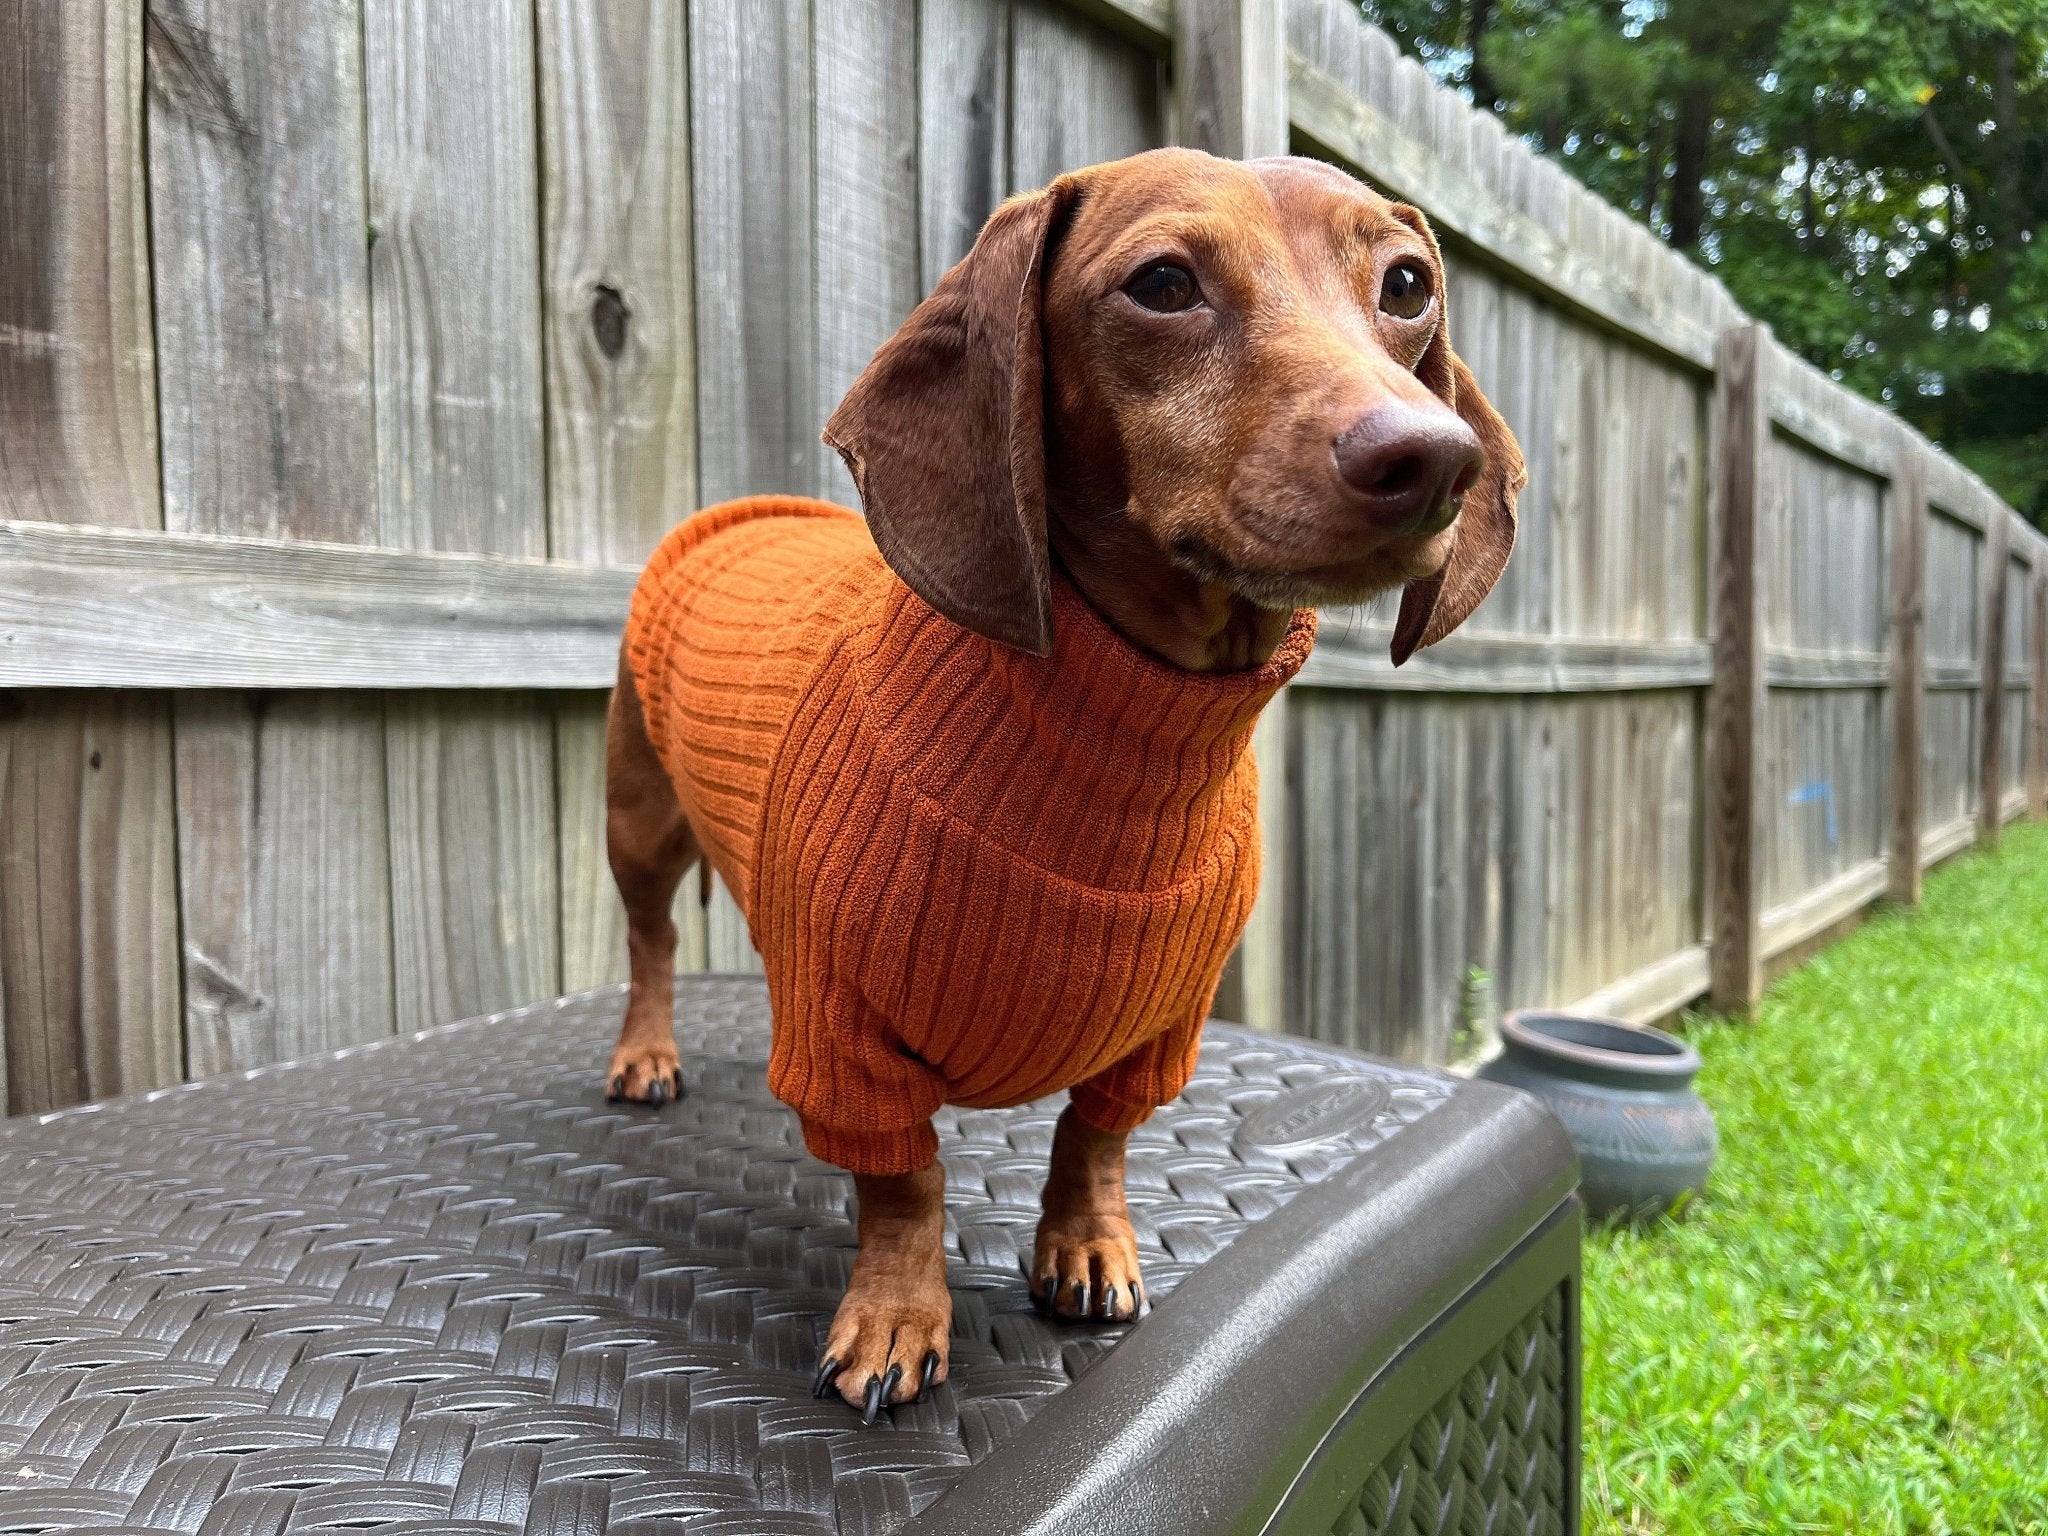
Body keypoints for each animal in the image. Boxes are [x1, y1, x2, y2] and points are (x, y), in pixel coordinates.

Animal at [598, 144, 1515, 1417]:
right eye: (1162, 283)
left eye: (1407, 284)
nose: (1431, 457)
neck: (1114, 747)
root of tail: (740, 511)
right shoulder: (843, 1035)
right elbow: (906, 1185)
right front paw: (897, 1315)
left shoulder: (1157, 1033)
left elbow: (1094, 1139)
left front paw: (1085, 1247)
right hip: (635, 824)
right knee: (650, 946)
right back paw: (645, 1053)